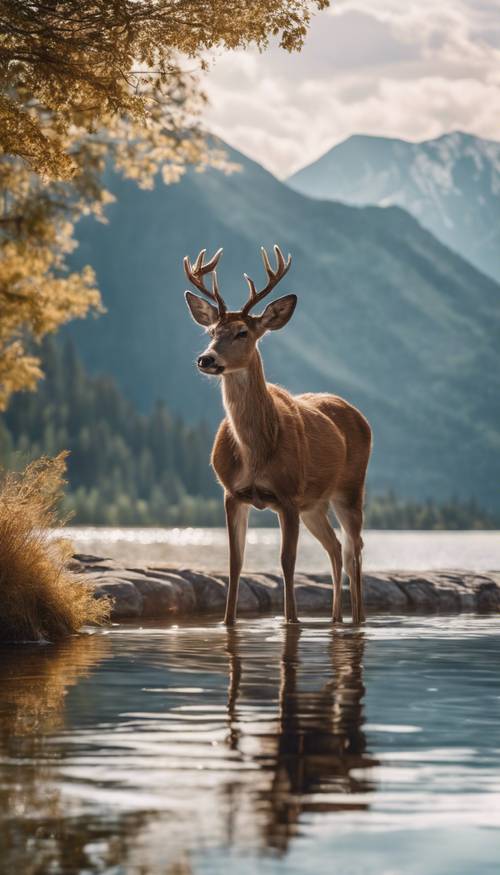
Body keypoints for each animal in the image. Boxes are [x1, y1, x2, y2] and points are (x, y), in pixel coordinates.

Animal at [184, 246, 372, 628]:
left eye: (242, 332)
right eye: (211, 330)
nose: (206, 359)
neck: (255, 452)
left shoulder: (287, 495)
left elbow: (287, 562)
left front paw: (292, 621)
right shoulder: (231, 493)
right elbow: (235, 562)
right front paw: (228, 622)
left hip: (350, 489)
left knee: (354, 548)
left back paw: (357, 619)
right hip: (315, 504)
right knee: (335, 547)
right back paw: (335, 619)